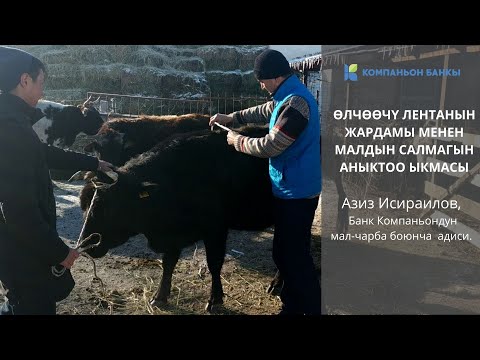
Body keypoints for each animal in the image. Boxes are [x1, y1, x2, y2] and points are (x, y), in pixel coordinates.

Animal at [79, 125, 274, 310]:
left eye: (108, 208)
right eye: (86, 206)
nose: (86, 245)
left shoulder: (216, 230)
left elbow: (214, 263)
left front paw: (215, 300)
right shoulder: (172, 235)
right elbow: (168, 263)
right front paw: (159, 297)